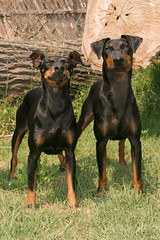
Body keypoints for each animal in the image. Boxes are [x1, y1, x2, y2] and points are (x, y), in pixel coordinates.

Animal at [9, 50, 85, 210]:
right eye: (48, 62)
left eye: (66, 62)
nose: (59, 68)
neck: (56, 104)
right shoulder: (33, 154)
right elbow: (31, 185)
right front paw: (30, 205)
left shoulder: (70, 151)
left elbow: (71, 183)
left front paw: (73, 205)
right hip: (18, 132)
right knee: (14, 157)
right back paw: (11, 177)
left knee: (60, 155)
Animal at [77, 34, 142, 195]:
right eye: (107, 48)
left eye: (126, 46)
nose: (118, 59)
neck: (118, 93)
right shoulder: (101, 142)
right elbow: (102, 170)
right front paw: (101, 191)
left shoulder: (136, 140)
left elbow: (137, 170)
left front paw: (138, 192)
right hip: (83, 118)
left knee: (121, 142)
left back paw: (122, 162)